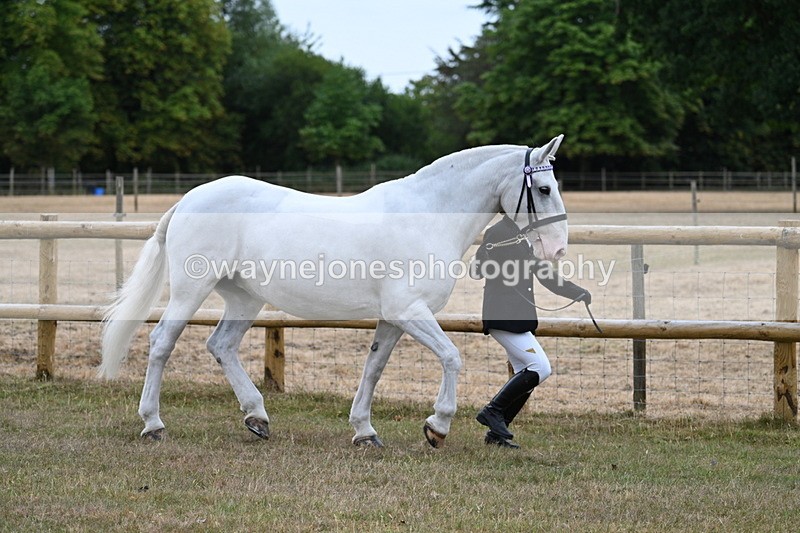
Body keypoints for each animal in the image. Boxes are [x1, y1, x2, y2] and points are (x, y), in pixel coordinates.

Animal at [99, 135, 569, 448]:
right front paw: (437, 426)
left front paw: (365, 431)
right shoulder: (409, 310)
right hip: (191, 289)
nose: (559, 248)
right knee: (162, 342)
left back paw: (257, 417)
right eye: (544, 188)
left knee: (222, 345)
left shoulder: (393, 318)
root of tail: (188, 199)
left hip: (245, 298)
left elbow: (373, 368)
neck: (426, 216)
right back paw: (153, 424)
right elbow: (452, 357)